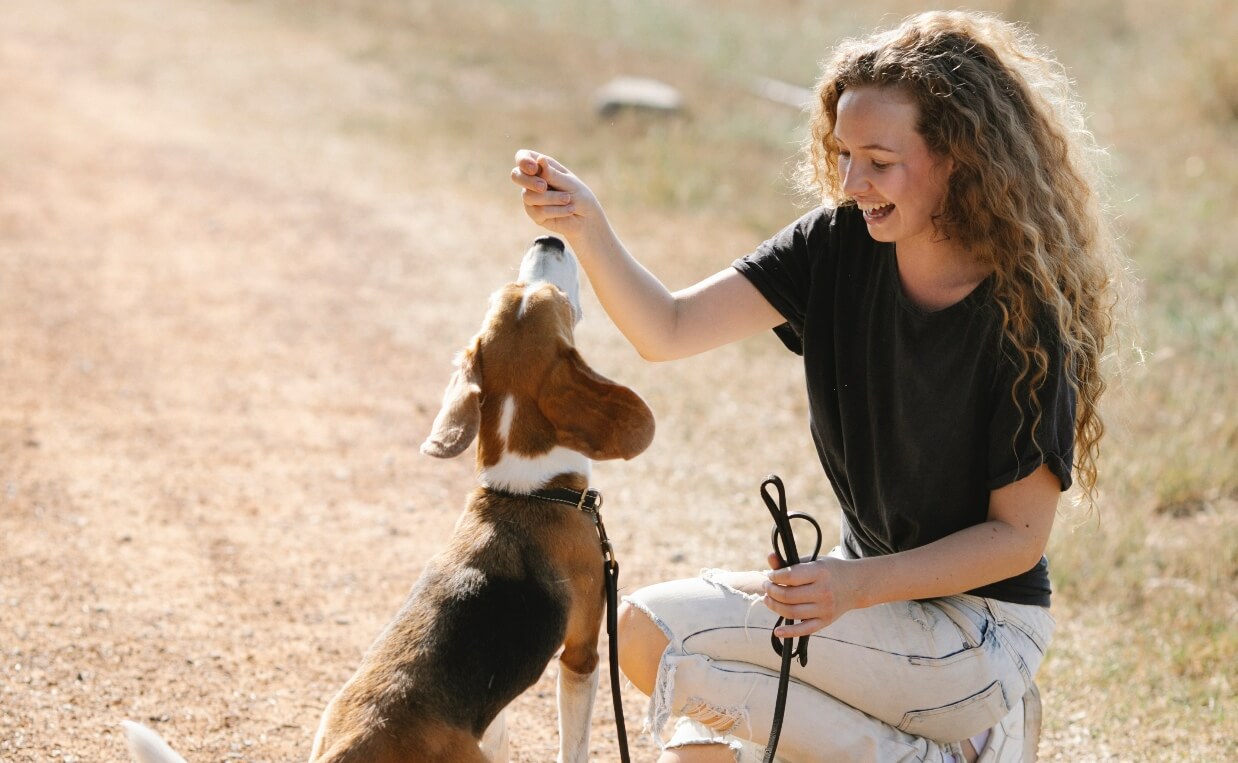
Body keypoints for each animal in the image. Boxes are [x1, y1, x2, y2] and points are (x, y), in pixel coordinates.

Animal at [125, 235, 658, 758]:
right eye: (559, 300)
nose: (549, 238)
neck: (528, 490)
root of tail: (346, 750)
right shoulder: (583, 652)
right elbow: (575, 742)